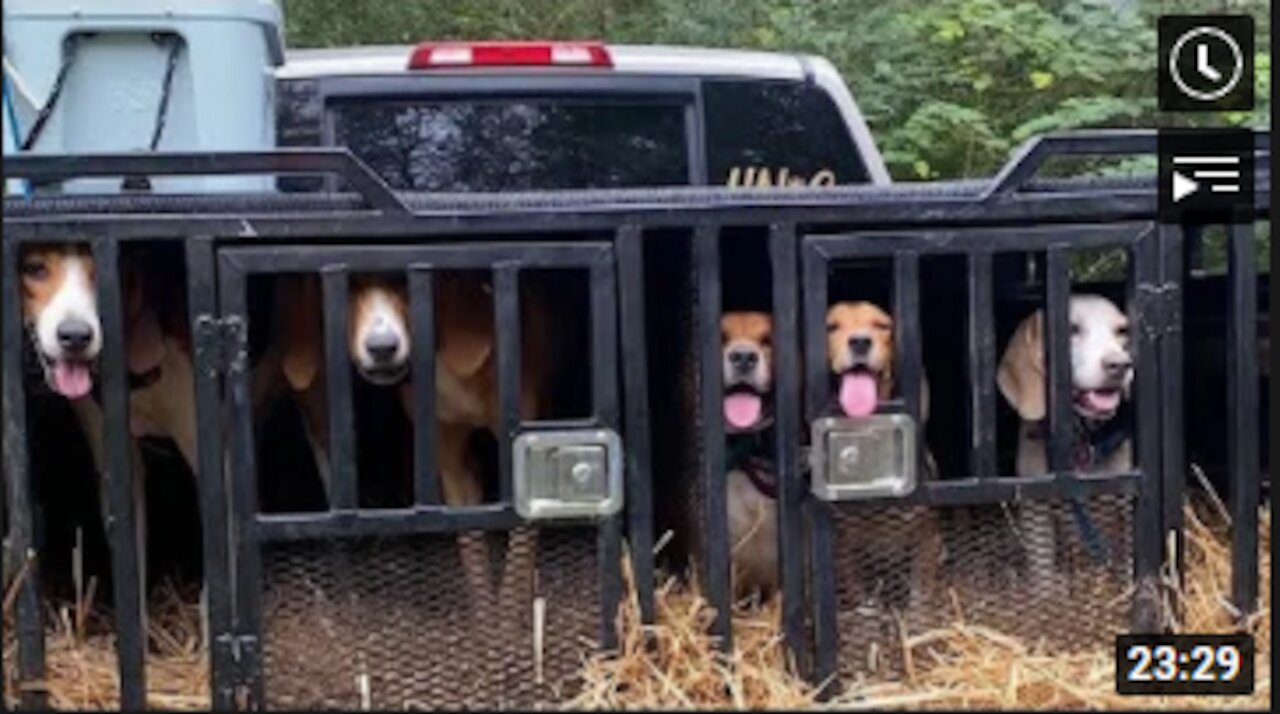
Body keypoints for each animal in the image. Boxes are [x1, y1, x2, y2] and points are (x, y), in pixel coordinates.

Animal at [998, 294, 1131, 596]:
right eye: (1070, 330)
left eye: (1122, 331)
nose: (1120, 364)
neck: (1078, 439)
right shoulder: (1035, 507)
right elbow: (1042, 570)